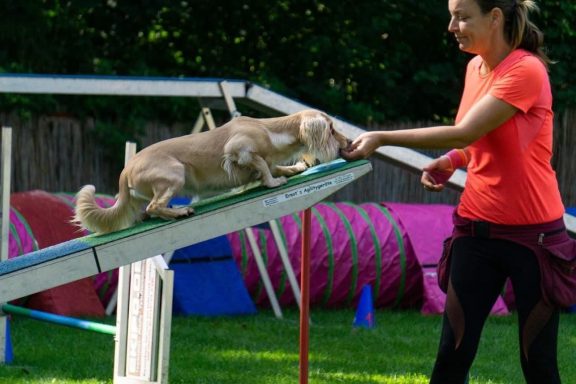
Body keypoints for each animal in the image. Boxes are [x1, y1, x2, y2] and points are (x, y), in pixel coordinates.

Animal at [74, 108, 348, 234]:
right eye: (332, 128)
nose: (347, 143)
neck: (271, 132)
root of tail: (126, 169)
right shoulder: (239, 150)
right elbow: (263, 166)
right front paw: (274, 182)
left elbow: (274, 166)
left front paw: (296, 167)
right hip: (175, 173)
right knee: (154, 207)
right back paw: (181, 211)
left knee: (146, 211)